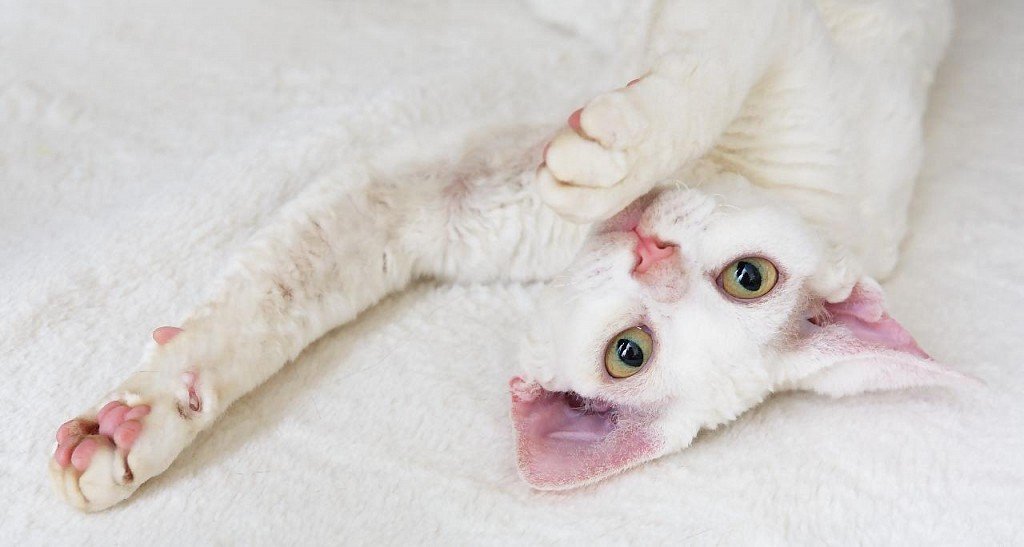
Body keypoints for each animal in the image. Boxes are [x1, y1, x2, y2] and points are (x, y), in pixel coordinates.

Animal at [49, 1, 966, 514]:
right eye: (752, 278)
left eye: (628, 354)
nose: (653, 251)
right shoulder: (785, 43)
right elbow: (700, 71)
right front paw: (617, 146)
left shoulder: (439, 198)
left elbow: (274, 293)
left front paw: (139, 424)